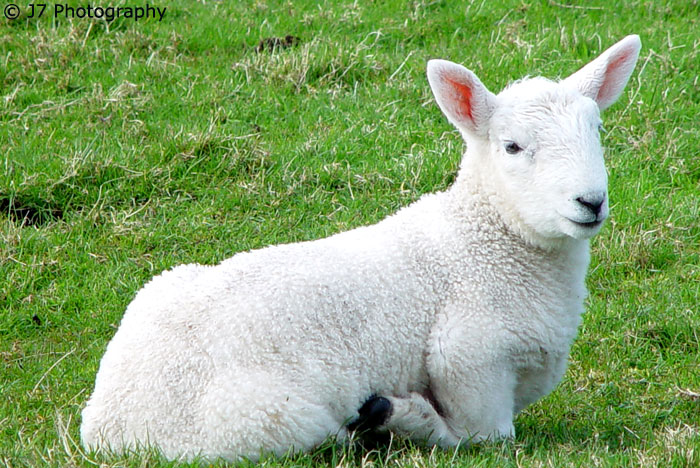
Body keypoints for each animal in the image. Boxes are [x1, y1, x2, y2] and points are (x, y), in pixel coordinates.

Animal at [81, 35, 642, 462]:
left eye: (597, 129)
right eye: (512, 147)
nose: (590, 201)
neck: (483, 241)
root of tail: (114, 428)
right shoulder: (468, 362)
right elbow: (482, 439)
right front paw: (417, 420)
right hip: (272, 420)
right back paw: (389, 421)